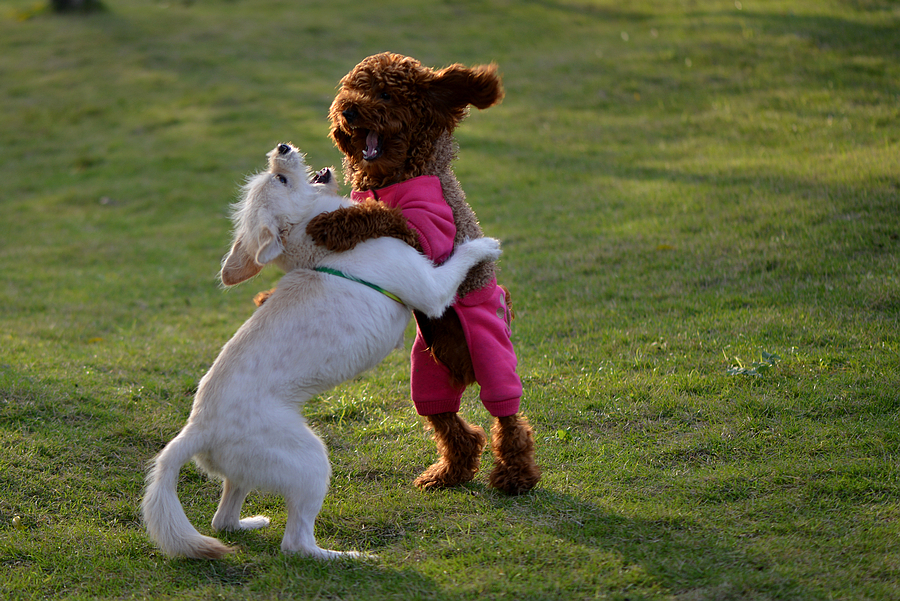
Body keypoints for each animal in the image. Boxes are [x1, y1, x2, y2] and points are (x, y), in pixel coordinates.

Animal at [144, 143, 502, 560]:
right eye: (280, 178)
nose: (281, 147)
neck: (315, 246)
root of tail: (197, 430)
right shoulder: (431, 290)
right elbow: (459, 260)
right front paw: (483, 245)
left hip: (246, 471)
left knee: (224, 519)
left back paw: (250, 523)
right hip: (310, 461)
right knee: (296, 543)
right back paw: (348, 558)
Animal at [306, 51, 540, 492]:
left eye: (385, 94)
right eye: (352, 89)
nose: (348, 110)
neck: (395, 175)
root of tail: (465, 370)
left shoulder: (430, 238)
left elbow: (384, 215)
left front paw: (333, 224)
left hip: (493, 351)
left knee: (508, 417)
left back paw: (516, 476)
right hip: (427, 371)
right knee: (447, 419)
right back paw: (449, 473)